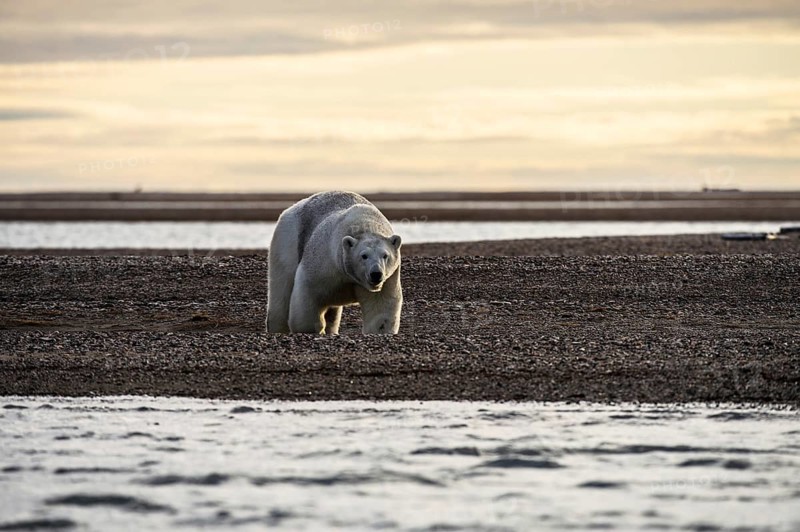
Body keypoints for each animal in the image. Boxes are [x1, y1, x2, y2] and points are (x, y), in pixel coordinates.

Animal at [266, 191, 403, 334]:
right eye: (364, 256)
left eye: (385, 255)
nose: (376, 274)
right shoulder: (324, 264)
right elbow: (308, 295)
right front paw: (312, 329)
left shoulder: (388, 278)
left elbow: (380, 308)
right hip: (288, 241)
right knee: (281, 289)